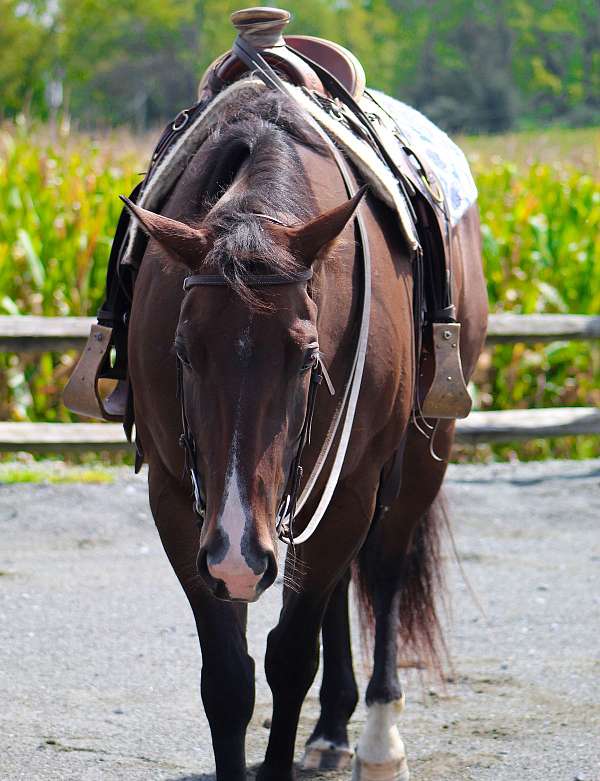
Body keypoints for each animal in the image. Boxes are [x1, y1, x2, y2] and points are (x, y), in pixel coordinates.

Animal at [123, 80, 488, 781]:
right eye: (182, 352)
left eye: (306, 354)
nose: (239, 553)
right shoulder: (179, 502)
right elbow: (228, 678)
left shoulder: (351, 487)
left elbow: (291, 656)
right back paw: (330, 730)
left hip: (419, 456)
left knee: (384, 568)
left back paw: (376, 739)